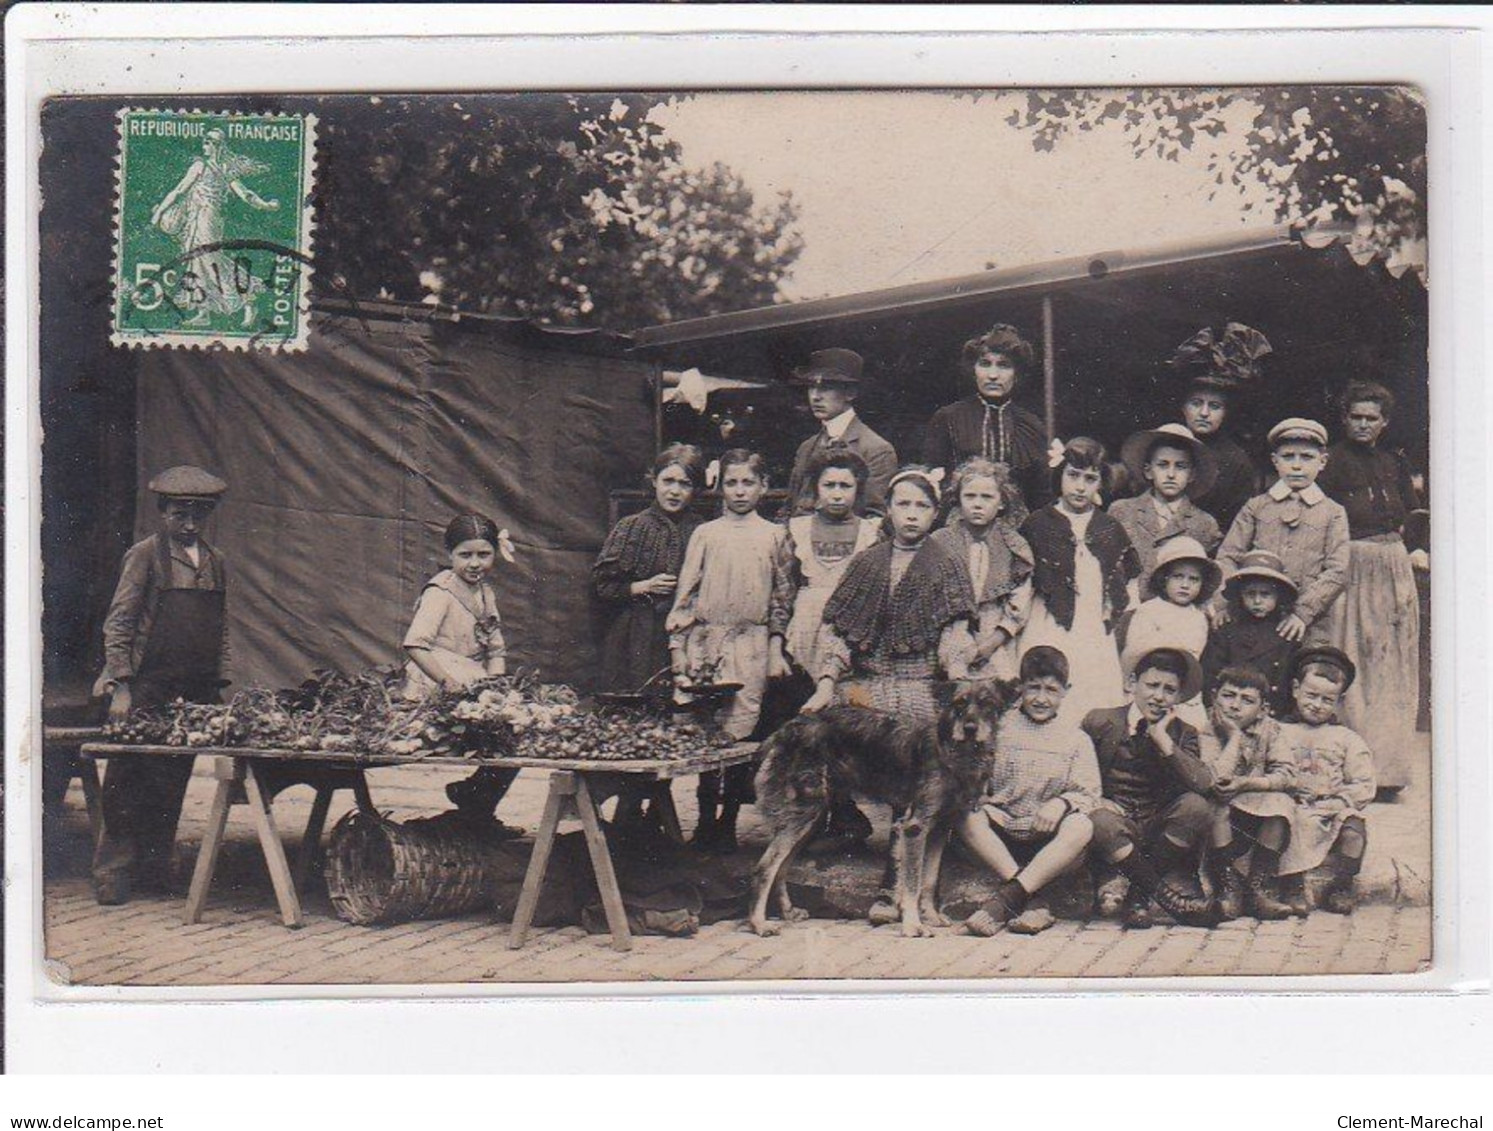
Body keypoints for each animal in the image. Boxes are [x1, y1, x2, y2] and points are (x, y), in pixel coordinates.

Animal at [746, 683, 1015, 937]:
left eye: (987, 704)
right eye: (960, 703)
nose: (969, 729)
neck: (952, 750)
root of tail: (789, 728)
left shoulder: (940, 827)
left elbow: (929, 880)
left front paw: (931, 917)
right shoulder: (915, 827)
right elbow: (913, 882)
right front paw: (913, 925)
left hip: (811, 819)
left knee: (781, 867)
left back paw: (787, 912)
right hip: (803, 813)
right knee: (764, 867)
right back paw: (759, 924)